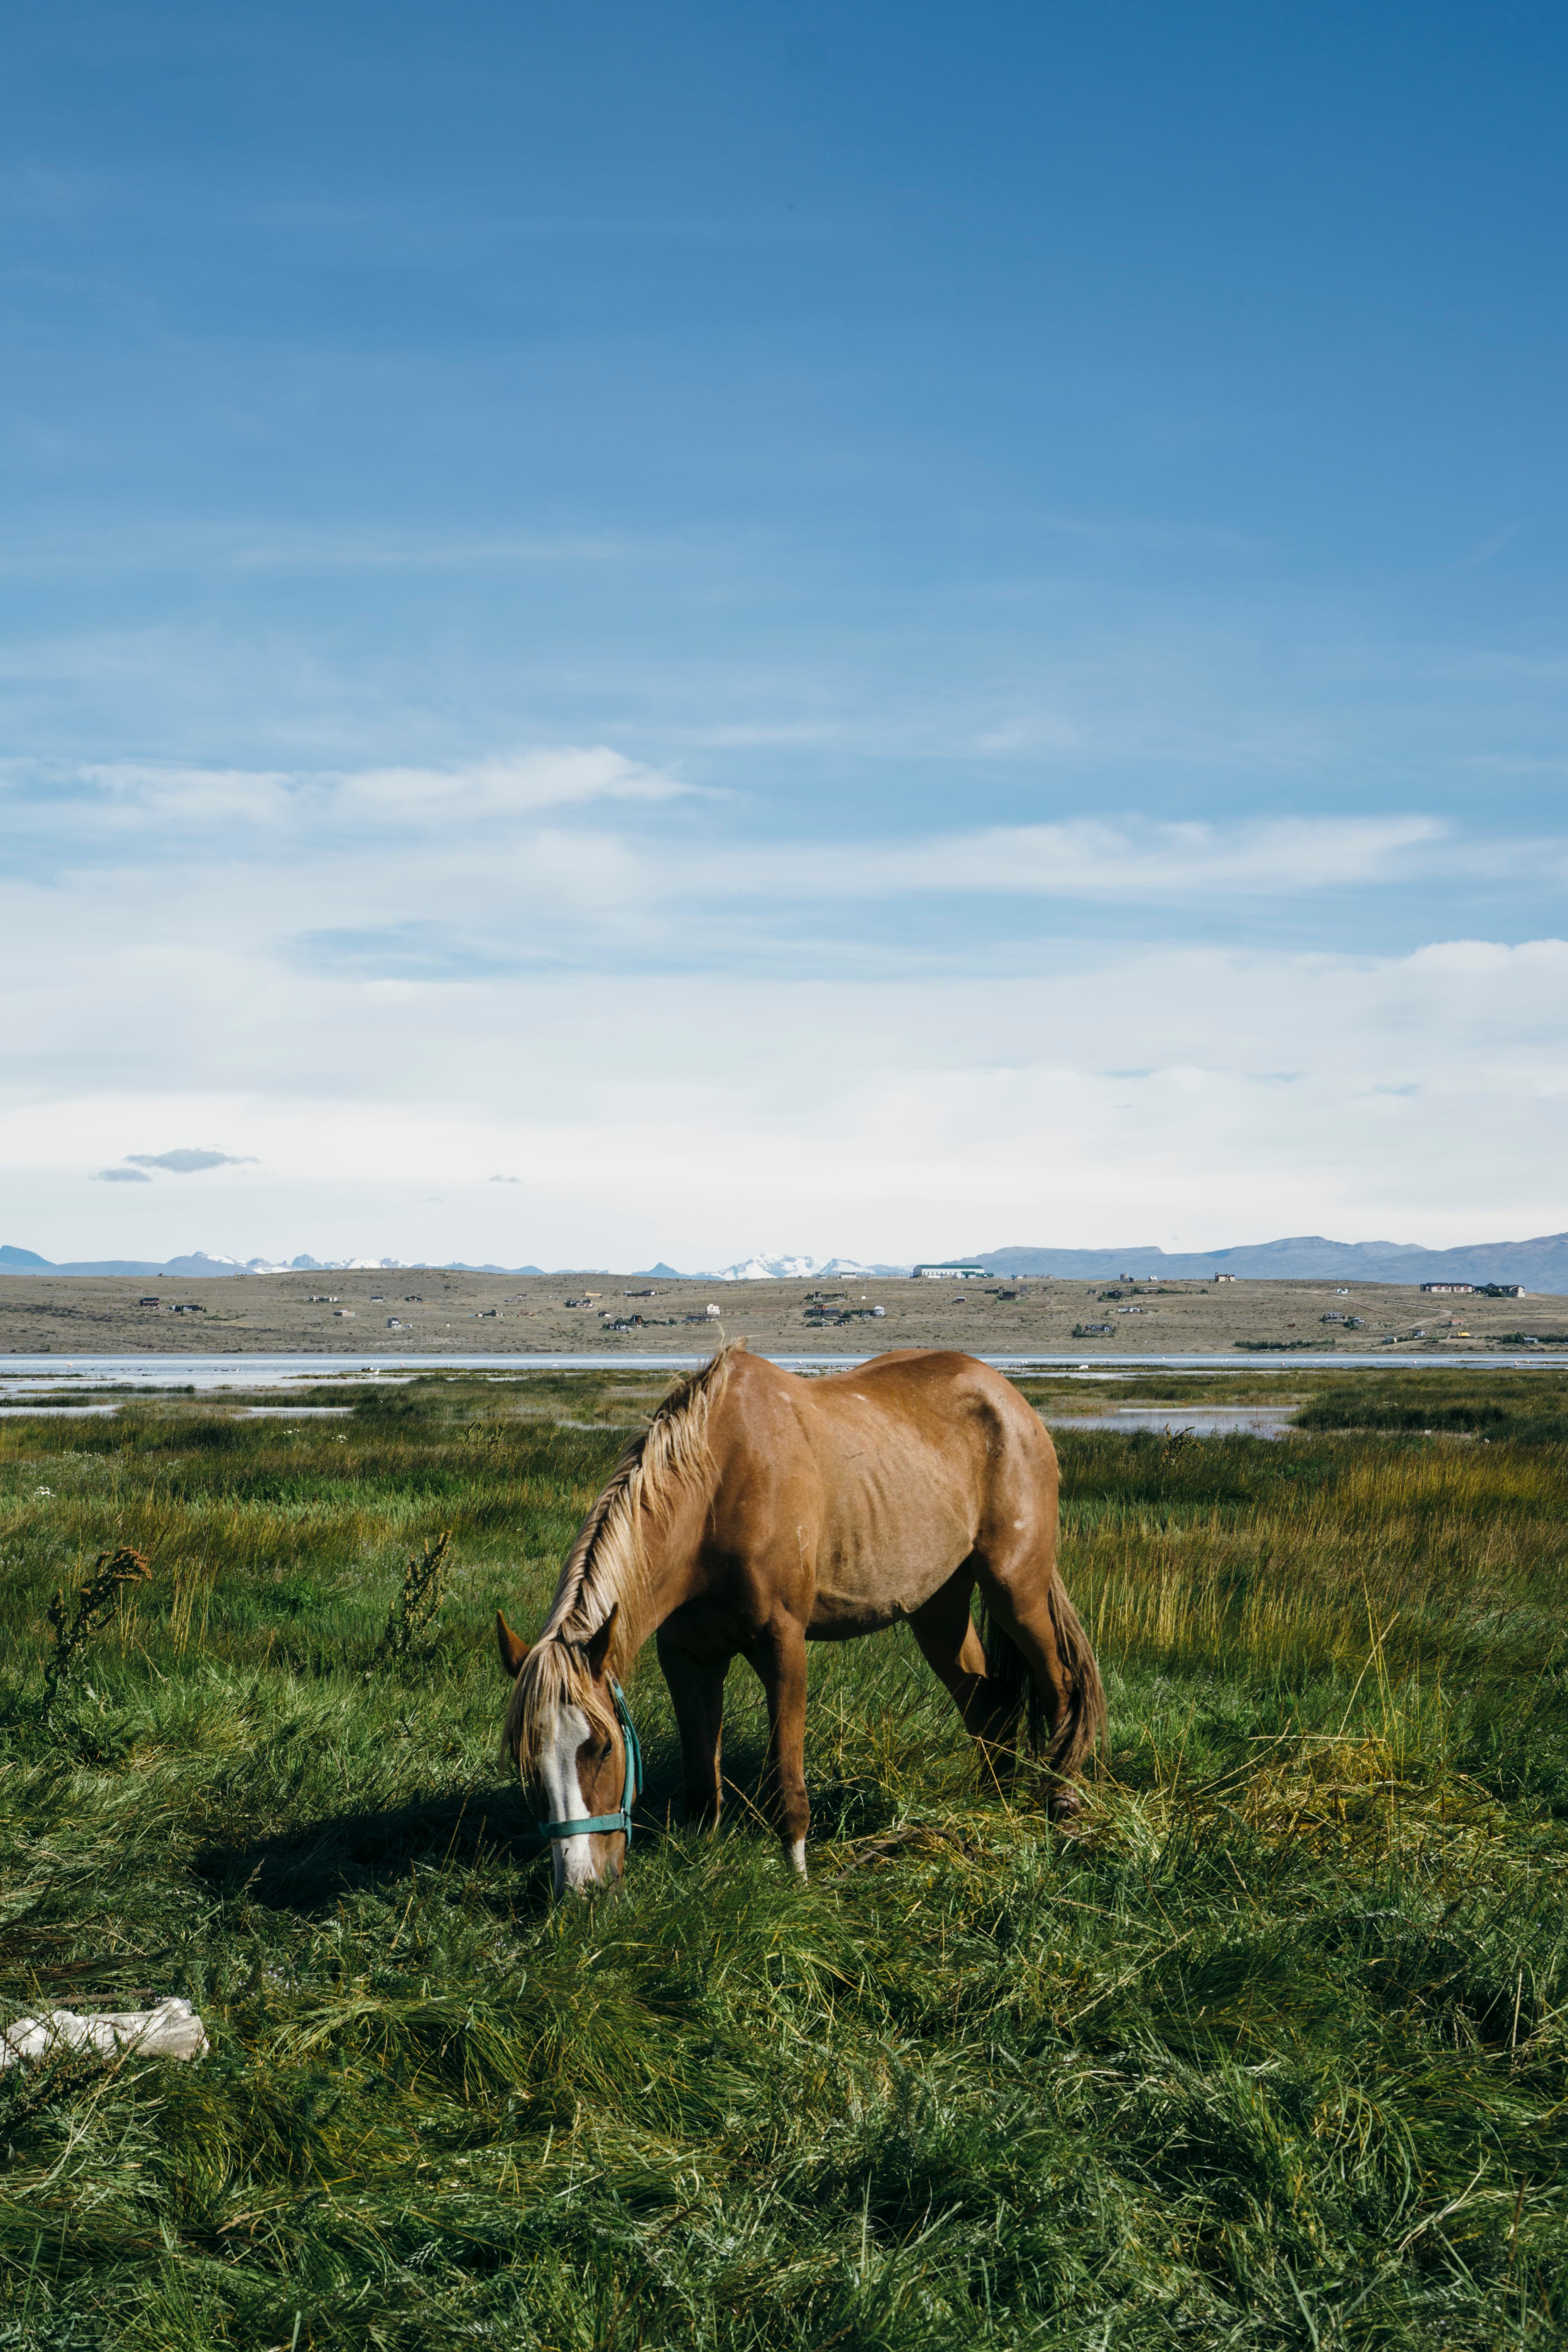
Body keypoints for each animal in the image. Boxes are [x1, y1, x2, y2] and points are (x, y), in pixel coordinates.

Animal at [501, 1345, 1105, 1891]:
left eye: (603, 1748)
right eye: (528, 1762)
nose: (581, 1888)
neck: (715, 1488)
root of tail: (1009, 1399)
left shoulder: (782, 1645)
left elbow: (786, 1777)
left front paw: (797, 1877)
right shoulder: (688, 1657)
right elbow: (702, 1777)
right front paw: (703, 1859)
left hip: (1015, 1590)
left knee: (1061, 1689)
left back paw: (1062, 1803)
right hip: (938, 1607)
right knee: (989, 1704)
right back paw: (990, 1805)